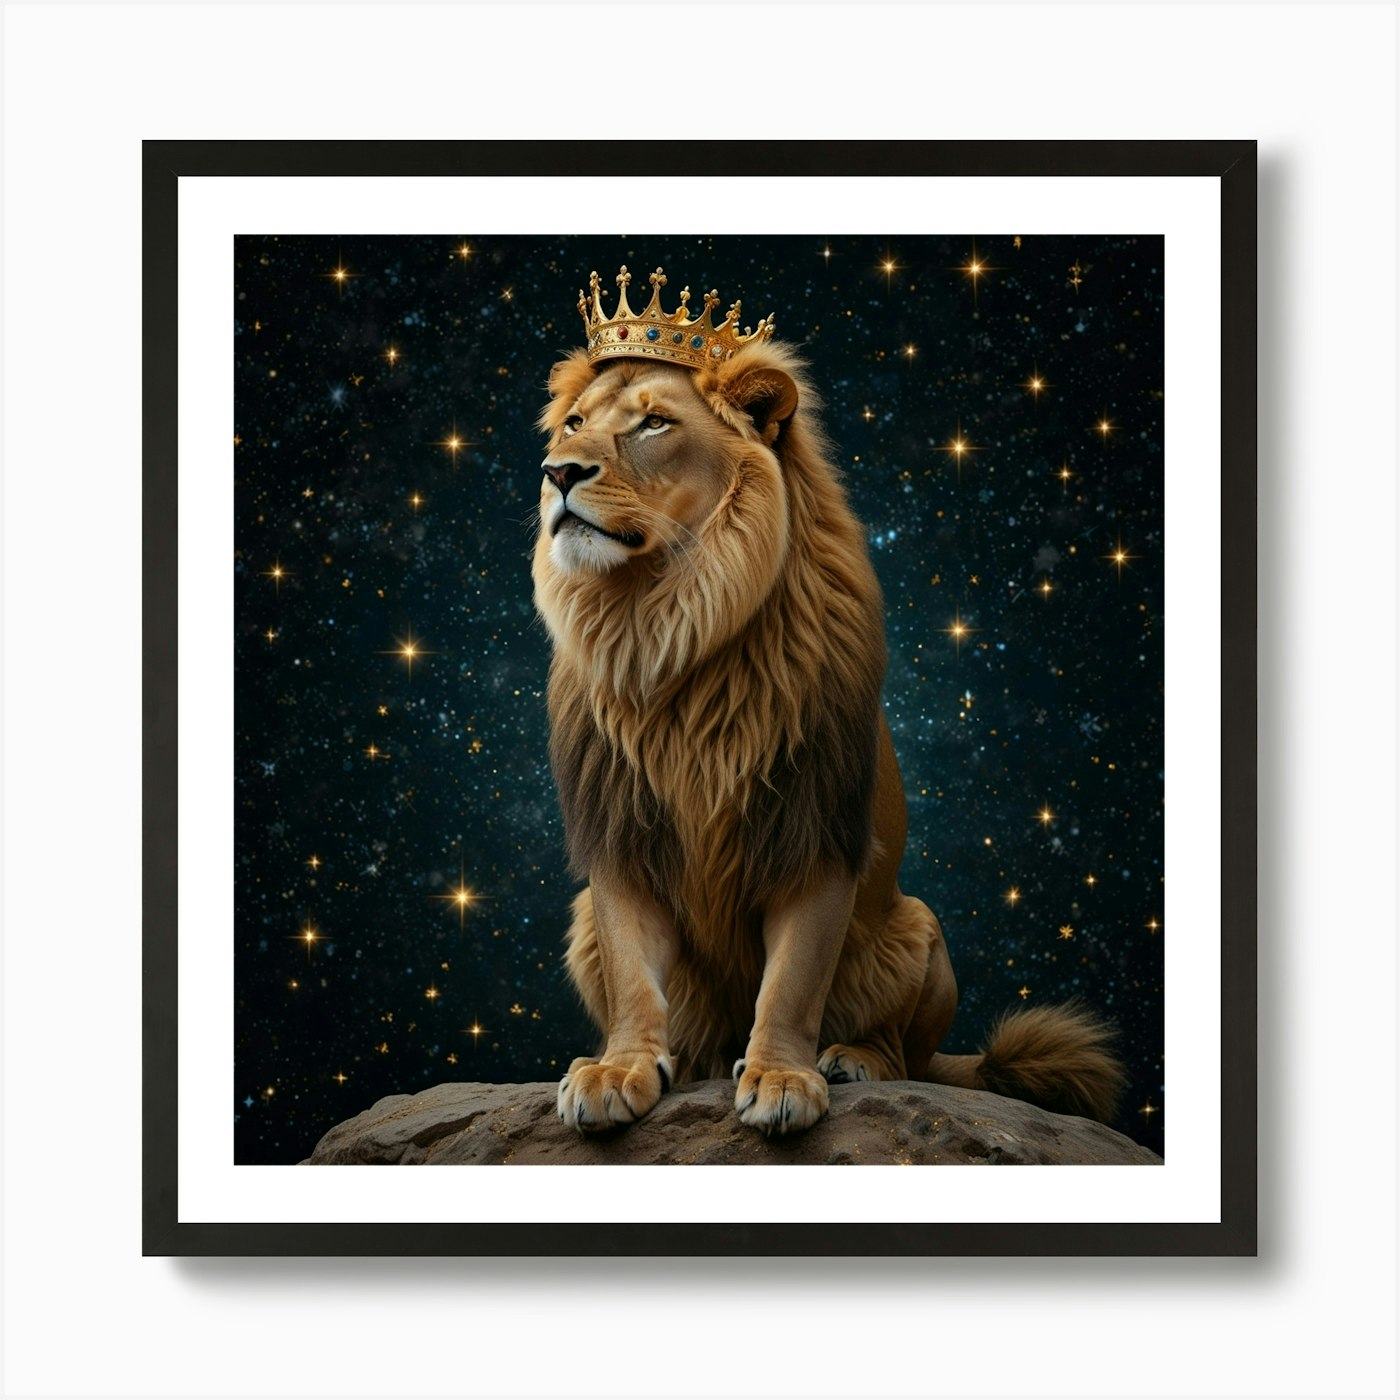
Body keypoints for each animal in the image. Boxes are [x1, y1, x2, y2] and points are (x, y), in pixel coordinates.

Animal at [531, 268, 1127, 1137]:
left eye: (653, 423)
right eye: (575, 423)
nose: (557, 472)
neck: (669, 621)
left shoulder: (813, 828)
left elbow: (793, 980)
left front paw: (782, 1078)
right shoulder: (620, 834)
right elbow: (635, 973)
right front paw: (619, 1069)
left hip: (921, 929)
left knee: (904, 1050)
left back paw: (853, 1060)